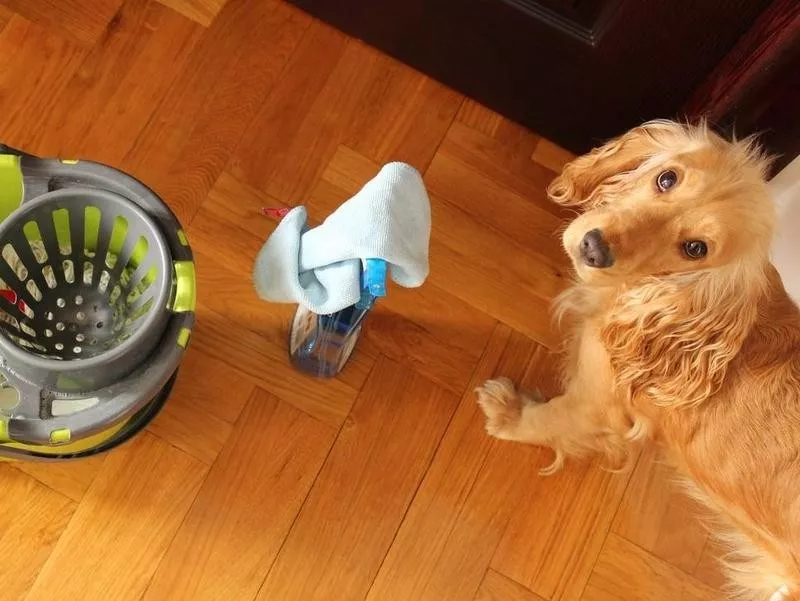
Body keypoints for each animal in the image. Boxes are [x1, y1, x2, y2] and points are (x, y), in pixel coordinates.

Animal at [476, 119, 800, 596]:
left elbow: (549, 419)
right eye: (666, 179)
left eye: (696, 248)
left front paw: (507, 413)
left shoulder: (595, 402)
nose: (593, 248)